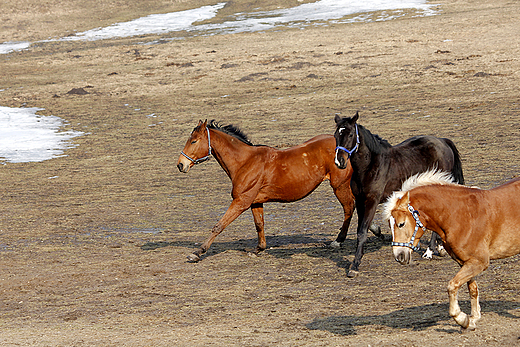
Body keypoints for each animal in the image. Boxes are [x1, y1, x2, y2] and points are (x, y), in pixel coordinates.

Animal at [177, 121, 364, 262]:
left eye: (193, 141)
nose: (180, 165)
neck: (245, 162)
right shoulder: (255, 201)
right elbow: (259, 224)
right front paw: (259, 249)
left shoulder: (242, 201)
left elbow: (219, 225)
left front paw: (197, 252)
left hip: (339, 186)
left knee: (349, 208)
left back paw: (339, 241)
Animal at [334, 113, 464, 278]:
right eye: (336, 135)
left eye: (350, 134)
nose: (339, 161)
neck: (369, 166)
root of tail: (443, 141)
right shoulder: (360, 201)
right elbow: (363, 228)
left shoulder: (372, 201)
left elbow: (362, 232)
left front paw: (355, 266)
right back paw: (440, 248)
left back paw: (429, 251)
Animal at [384, 171, 520, 332]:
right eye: (390, 225)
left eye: (401, 224)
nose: (399, 256)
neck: (460, 215)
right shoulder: (466, 262)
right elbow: (472, 288)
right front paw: (473, 319)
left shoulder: (479, 262)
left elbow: (452, 285)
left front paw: (462, 319)